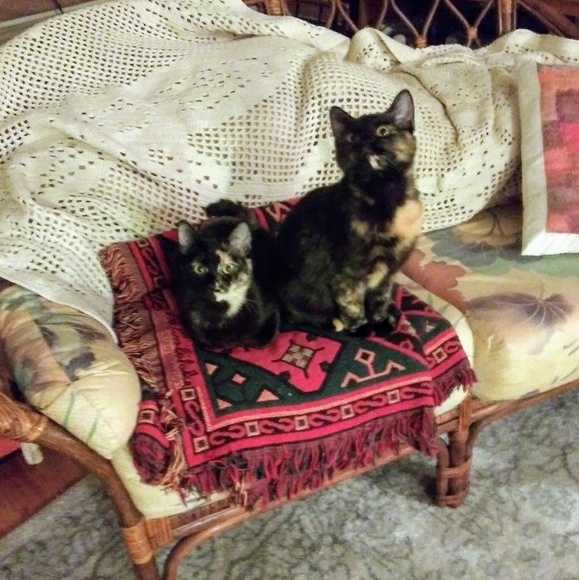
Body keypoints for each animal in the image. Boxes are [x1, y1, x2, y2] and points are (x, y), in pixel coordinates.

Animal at [170, 200, 279, 349]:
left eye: (228, 268)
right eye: (199, 269)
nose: (216, 284)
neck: (221, 310)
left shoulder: (272, 308)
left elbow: (260, 340)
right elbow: (207, 340)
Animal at [275, 89, 422, 333]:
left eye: (383, 131)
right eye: (352, 138)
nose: (364, 143)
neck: (384, 198)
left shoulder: (389, 272)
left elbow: (380, 299)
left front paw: (380, 322)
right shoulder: (344, 273)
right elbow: (351, 303)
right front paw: (362, 329)